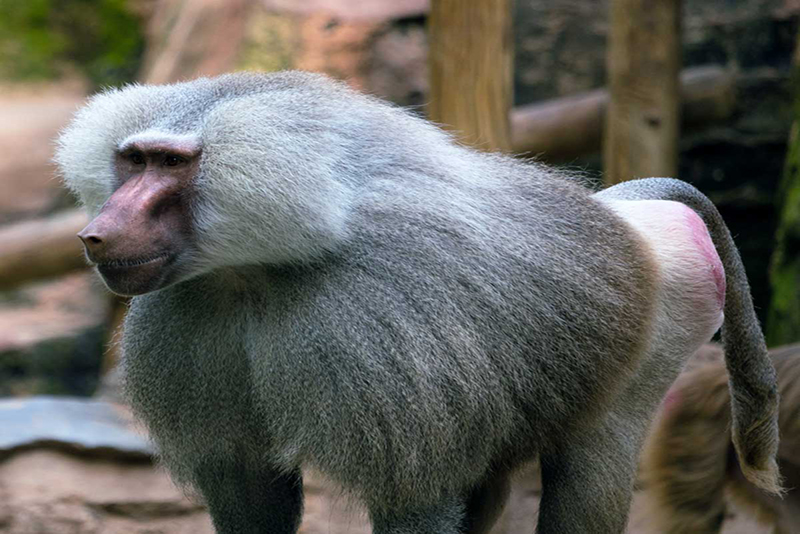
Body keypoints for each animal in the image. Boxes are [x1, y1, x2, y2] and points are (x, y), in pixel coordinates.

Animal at [54, 71, 780, 534]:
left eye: (170, 165)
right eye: (133, 160)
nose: (97, 234)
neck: (252, 273)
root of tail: (626, 212)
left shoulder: (375, 326)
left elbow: (417, 499)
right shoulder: (187, 325)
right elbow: (250, 493)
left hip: (663, 322)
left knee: (592, 472)